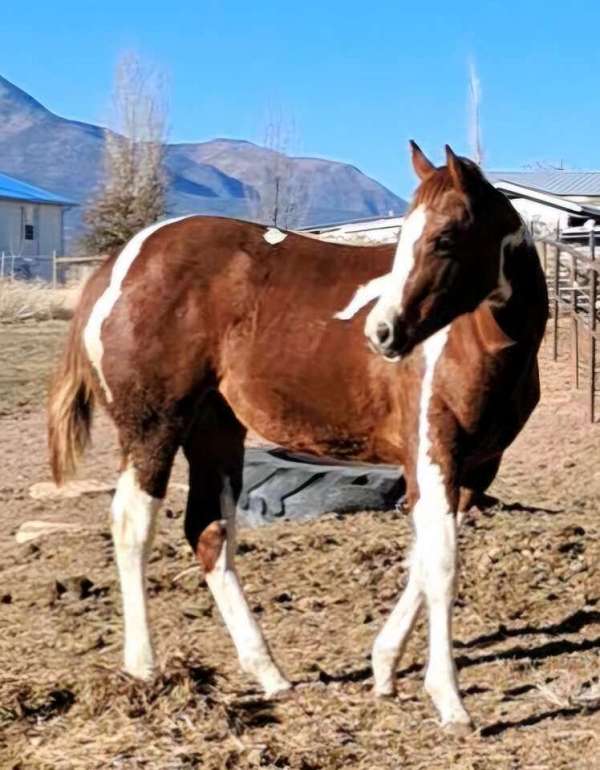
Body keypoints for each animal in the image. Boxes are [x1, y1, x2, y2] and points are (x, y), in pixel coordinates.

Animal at [48, 142, 548, 728]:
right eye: (405, 234)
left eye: (445, 237)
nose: (381, 333)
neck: (480, 342)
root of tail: (118, 266)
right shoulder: (433, 455)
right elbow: (442, 565)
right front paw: (448, 700)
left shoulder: (475, 467)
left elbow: (424, 562)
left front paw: (384, 668)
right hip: (153, 426)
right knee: (132, 526)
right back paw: (145, 670)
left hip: (215, 429)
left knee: (208, 530)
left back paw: (269, 673)